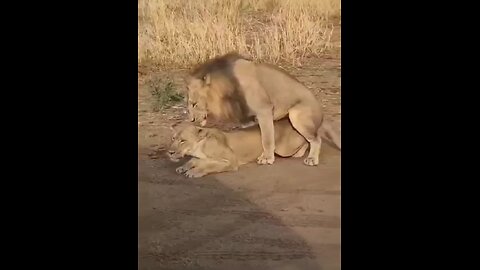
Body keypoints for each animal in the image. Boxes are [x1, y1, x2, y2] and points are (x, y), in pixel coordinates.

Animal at [167, 117, 340, 177]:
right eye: (173, 138)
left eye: (183, 141)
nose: (169, 152)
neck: (200, 146)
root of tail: (286, 120)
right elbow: (194, 160)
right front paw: (184, 167)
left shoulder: (231, 161)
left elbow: (210, 166)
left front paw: (194, 172)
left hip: (283, 149)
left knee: (312, 138)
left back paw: (307, 156)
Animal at [186, 52, 336, 167]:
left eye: (194, 104)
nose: (191, 120)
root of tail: (321, 111)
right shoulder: (247, 117)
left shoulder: (264, 110)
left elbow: (267, 137)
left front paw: (267, 158)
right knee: (306, 139)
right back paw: (298, 153)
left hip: (296, 114)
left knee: (316, 138)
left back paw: (312, 159)